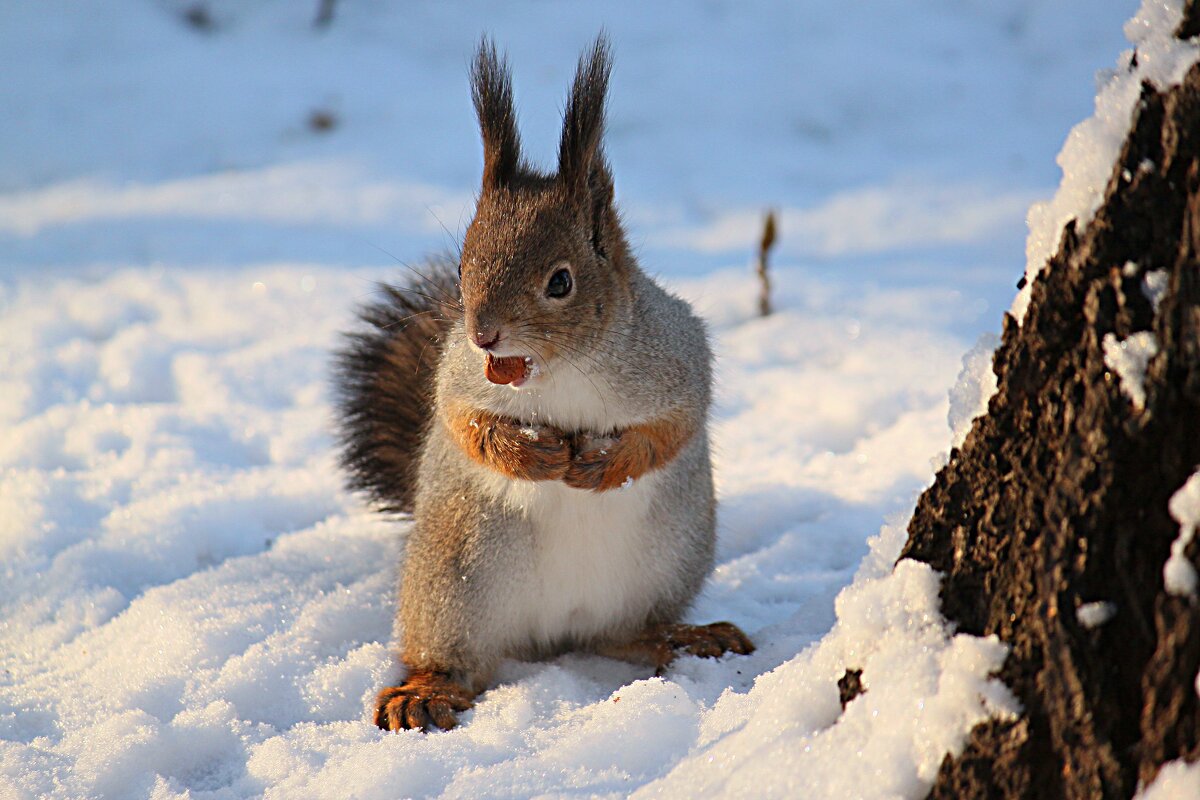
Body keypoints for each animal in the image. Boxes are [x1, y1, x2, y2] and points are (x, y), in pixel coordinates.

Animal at [333, 34, 753, 734]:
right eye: (463, 266)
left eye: (561, 281)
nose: (484, 335)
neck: (558, 372)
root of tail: (554, 635)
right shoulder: (457, 377)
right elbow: (460, 422)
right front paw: (530, 454)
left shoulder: (676, 358)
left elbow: (674, 427)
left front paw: (605, 463)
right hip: (453, 582)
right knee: (453, 658)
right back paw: (425, 690)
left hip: (667, 564)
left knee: (627, 633)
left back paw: (686, 636)